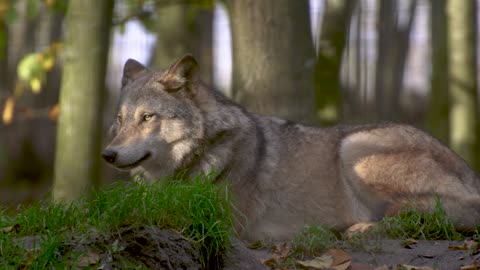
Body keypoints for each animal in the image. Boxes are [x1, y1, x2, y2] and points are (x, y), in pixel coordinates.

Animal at [102, 53, 480, 242]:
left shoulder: (221, 222)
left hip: (353, 147)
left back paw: (357, 228)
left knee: (423, 217)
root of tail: (472, 173)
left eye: (147, 117)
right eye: (120, 119)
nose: (108, 154)